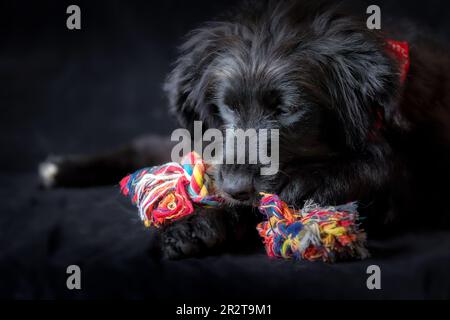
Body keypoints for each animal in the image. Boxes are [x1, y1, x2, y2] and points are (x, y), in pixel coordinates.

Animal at [39, 0, 450, 258]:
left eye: (288, 110)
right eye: (227, 107)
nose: (237, 188)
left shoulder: (413, 181)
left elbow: (384, 166)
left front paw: (314, 183)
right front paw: (196, 225)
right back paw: (60, 168)